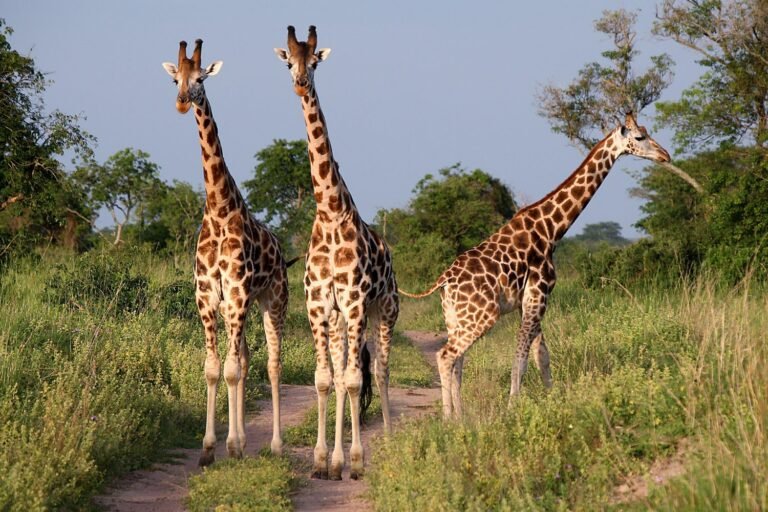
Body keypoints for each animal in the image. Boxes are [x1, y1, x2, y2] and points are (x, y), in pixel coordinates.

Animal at [162, 39, 288, 465]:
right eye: (175, 79)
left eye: (201, 79)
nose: (182, 102)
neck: (218, 208)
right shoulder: (206, 296)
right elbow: (215, 368)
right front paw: (209, 447)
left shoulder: (235, 292)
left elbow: (231, 369)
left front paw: (231, 445)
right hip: (242, 305)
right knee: (246, 360)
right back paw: (245, 437)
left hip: (273, 301)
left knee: (272, 364)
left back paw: (274, 445)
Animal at [275, 25, 399, 480]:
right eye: (289, 62)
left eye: (315, 63)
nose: (300, 83)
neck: (329, 212)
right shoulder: (319, 305)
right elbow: (325, 379)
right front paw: (322, 460)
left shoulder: (357, 302)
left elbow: (354, 379)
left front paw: (356, 460)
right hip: (342, 320)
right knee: (348, 368)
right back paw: (336, 457)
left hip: (384, 310)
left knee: (378, 371)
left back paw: (381, 445)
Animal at [401, 113, 670, 419]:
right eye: (639, 137)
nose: (665, 155)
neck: (551, 230)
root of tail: (445, 279)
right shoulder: (539, 294)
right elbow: (521, 357)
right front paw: (513, 407)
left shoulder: (529, 300)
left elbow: (542, 355)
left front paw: (554, 400)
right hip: (483, 315)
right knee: (446, 355)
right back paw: (451, 419)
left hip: (454, 315)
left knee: (457, 360)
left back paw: (460, 416)